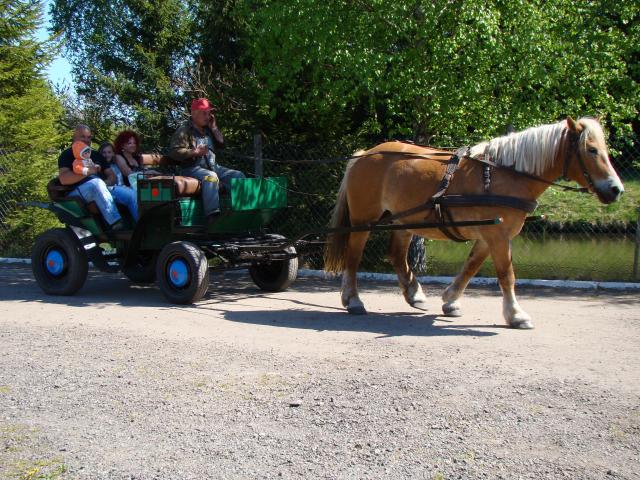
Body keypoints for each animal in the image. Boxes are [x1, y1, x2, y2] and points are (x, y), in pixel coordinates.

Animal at [322, 115, 624, 330]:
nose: (616, 189)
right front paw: (516, 314)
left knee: (396, 254)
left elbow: (470, 268)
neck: (508, 175)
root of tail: (364, 154)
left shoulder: (489, 235)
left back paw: (413, 294)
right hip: (363, 220)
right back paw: (353, 299)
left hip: (406, 219)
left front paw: (451, 300)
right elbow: (506, 274)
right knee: (353, 256)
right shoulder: (498, 236)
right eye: (591, 150)